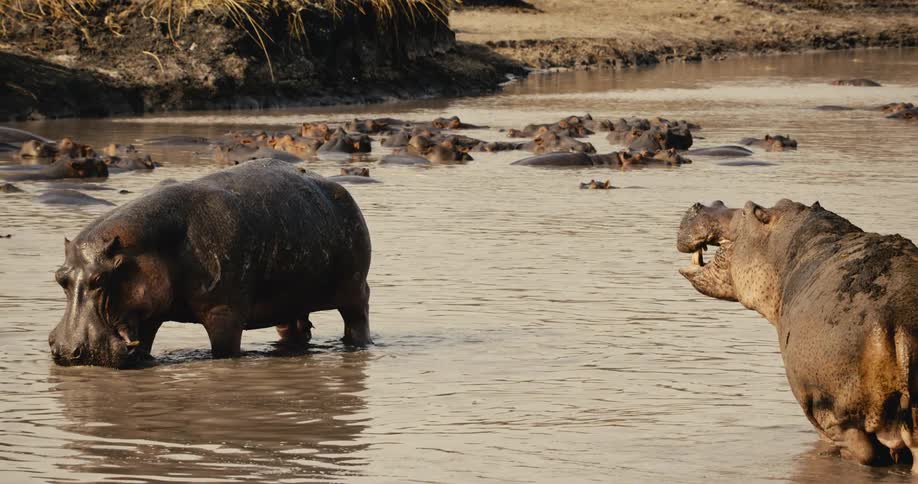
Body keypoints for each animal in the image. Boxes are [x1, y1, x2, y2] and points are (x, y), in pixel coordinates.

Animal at [48, 159, 372, 368]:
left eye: (100, 279)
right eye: (59, 277)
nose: (64, 349)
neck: (147, 246)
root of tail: (340, 189)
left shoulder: (224, 313)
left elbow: (223, 351)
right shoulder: (148, 314)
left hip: (354, 289)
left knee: (357, 319)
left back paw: (358, 345)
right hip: (289, 301)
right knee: (294, 328)